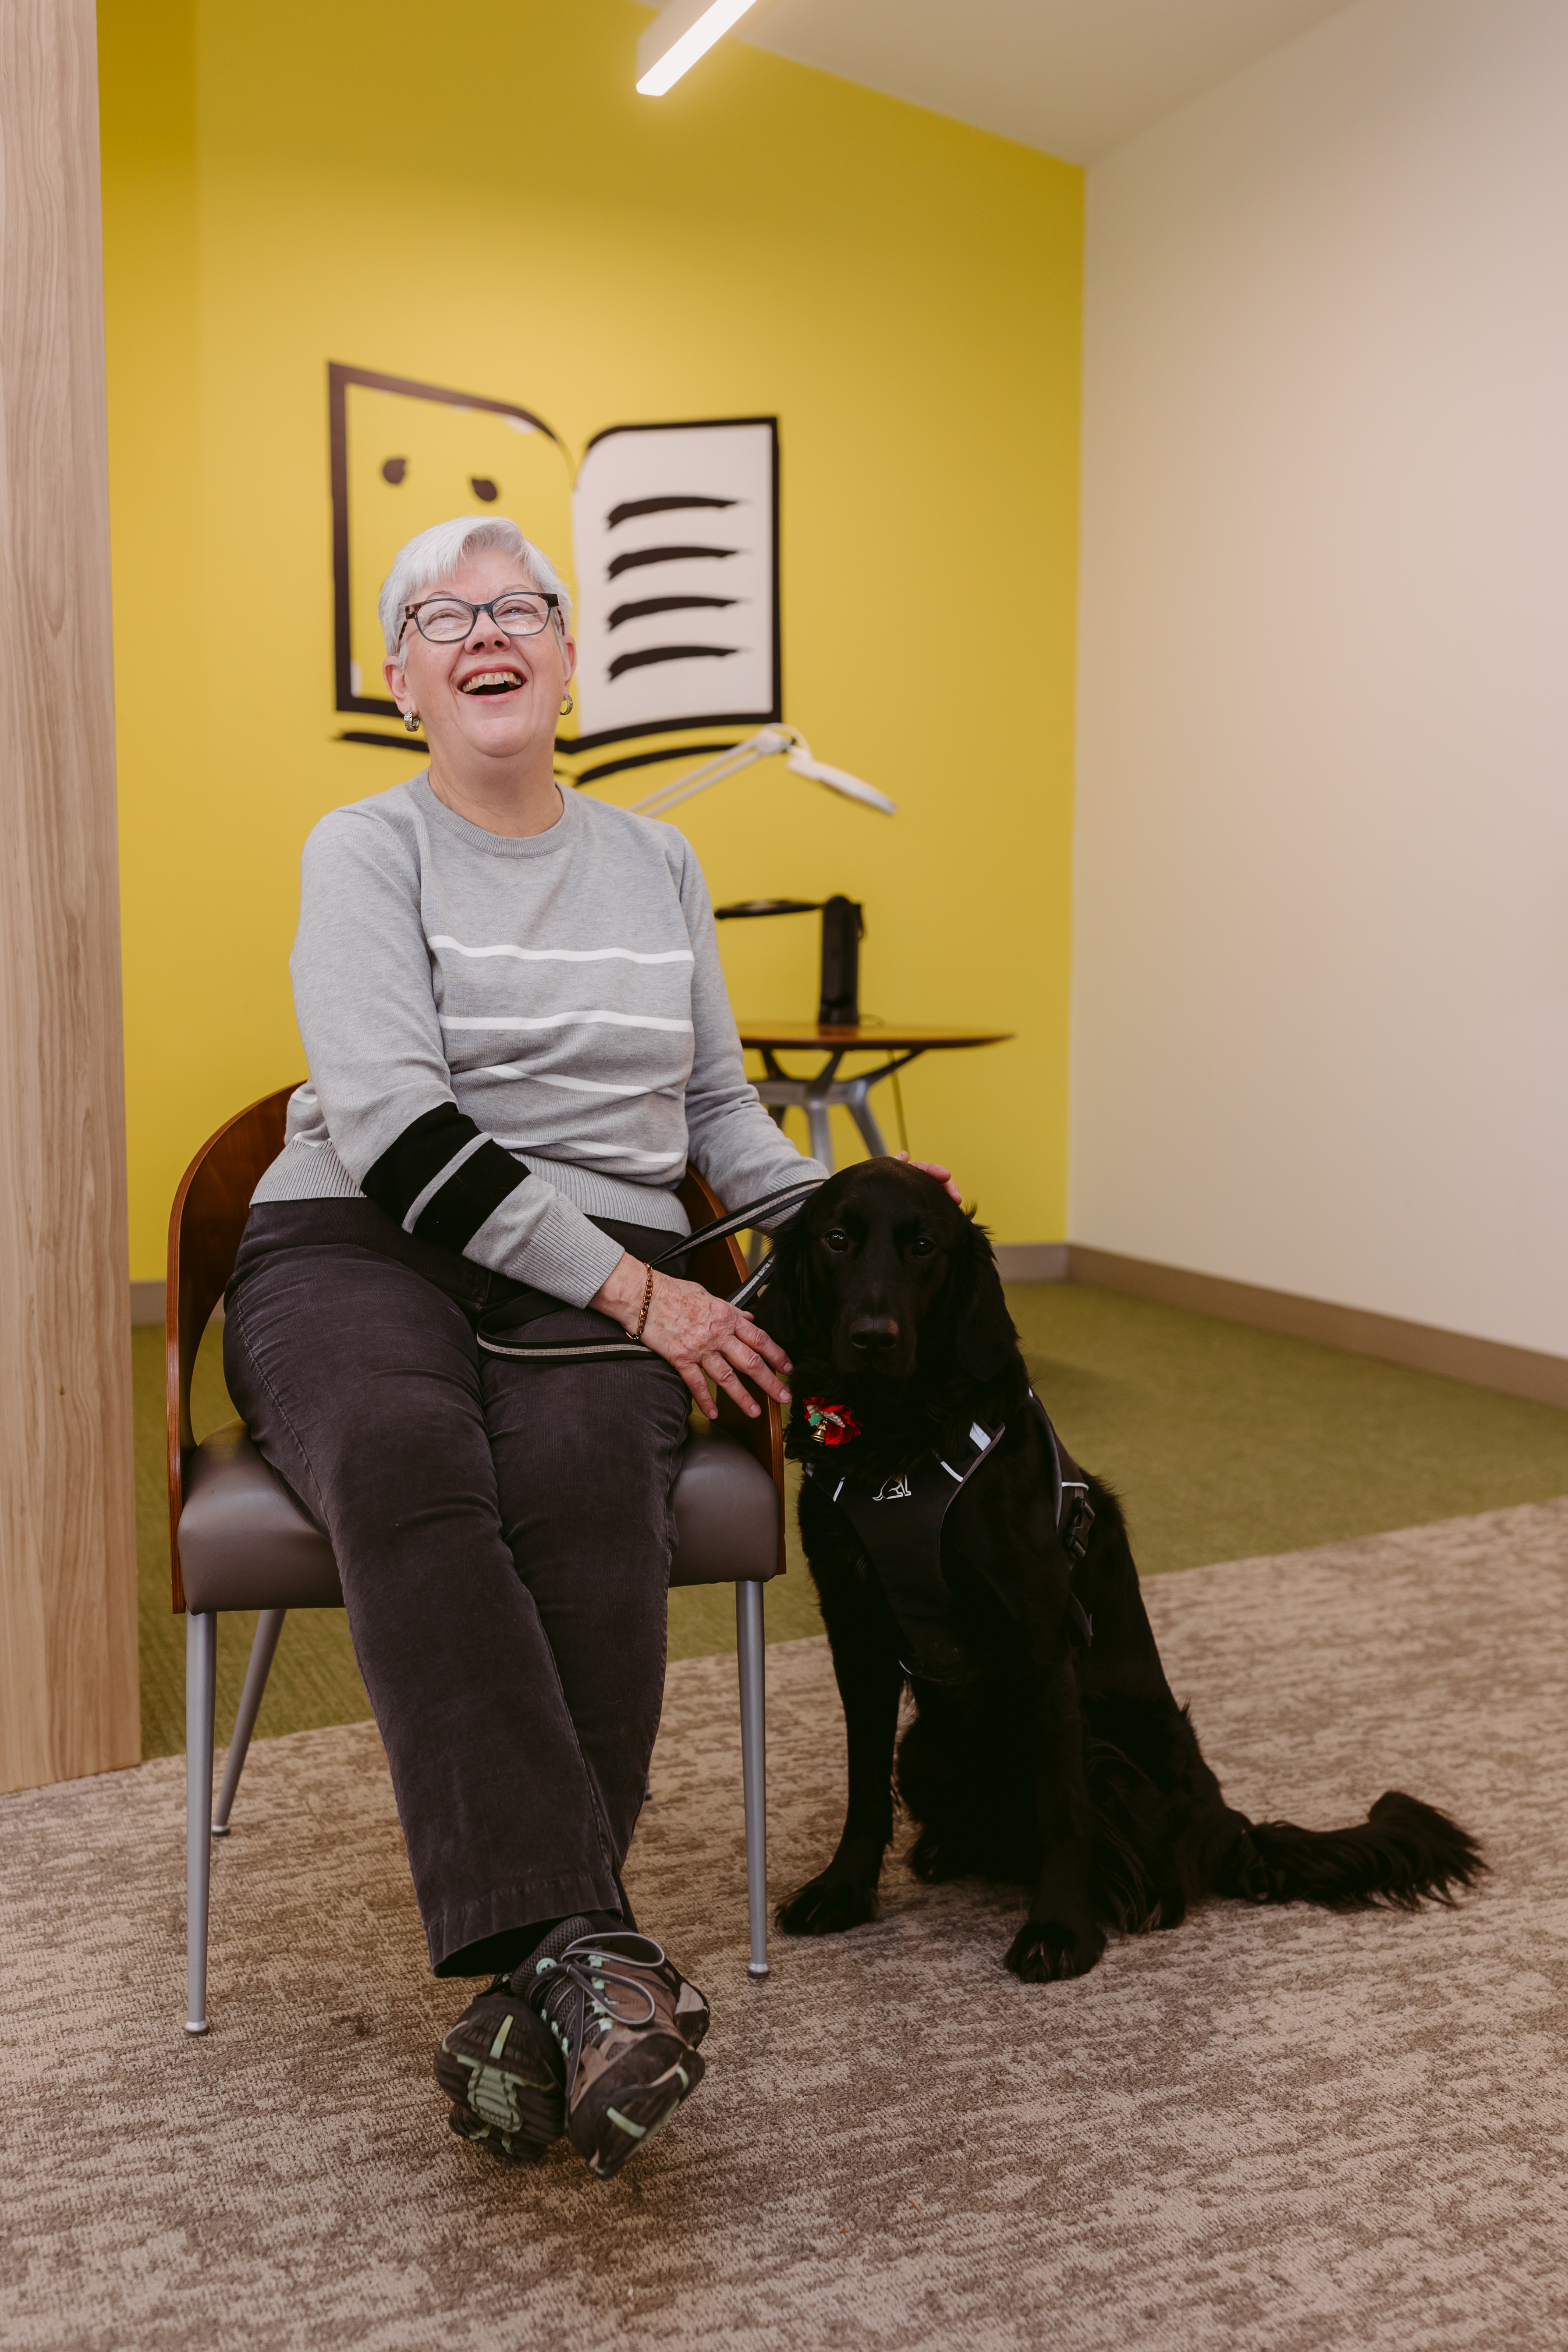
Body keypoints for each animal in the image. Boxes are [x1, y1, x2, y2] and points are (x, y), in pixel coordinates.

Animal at [762, 1157, 1486, 1985]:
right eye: (836, 1239)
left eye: (922, 1246)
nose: (872, 1338)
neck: (900, 1445)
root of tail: (1231, 1826)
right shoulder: (854, 1629)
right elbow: (862, 1785)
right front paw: (843, 1890)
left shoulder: (1040, 1646)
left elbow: (1061, 1808)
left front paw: (1059, 1928)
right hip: (929, 1744)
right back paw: (949, 1849)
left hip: (1110, 1746)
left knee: (1140, 1859)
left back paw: (1123, 1897)